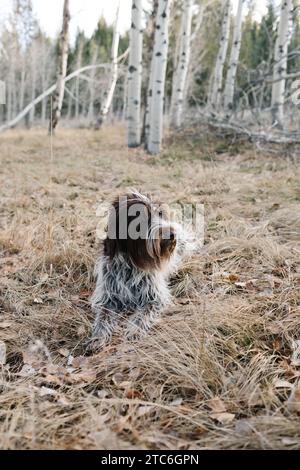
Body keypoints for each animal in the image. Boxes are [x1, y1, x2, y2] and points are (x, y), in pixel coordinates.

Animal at [88, 191, 197, 348]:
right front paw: (98, 337)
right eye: (142, 218)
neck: (131, 263)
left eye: (160, 213)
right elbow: (103, 316)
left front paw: (134, 331)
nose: (171, 234)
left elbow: (143, 314)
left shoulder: (154, 297)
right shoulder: (107, 298)